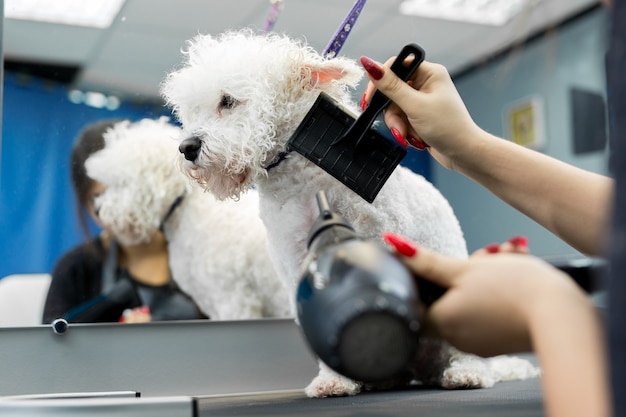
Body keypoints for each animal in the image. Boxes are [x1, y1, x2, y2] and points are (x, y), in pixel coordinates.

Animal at [160, 30, 536, 396]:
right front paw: (335, 380)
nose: (187, 147)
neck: (304, 181)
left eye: (228, 101)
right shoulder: (297, 265)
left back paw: (466, 372)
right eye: (190, 111)